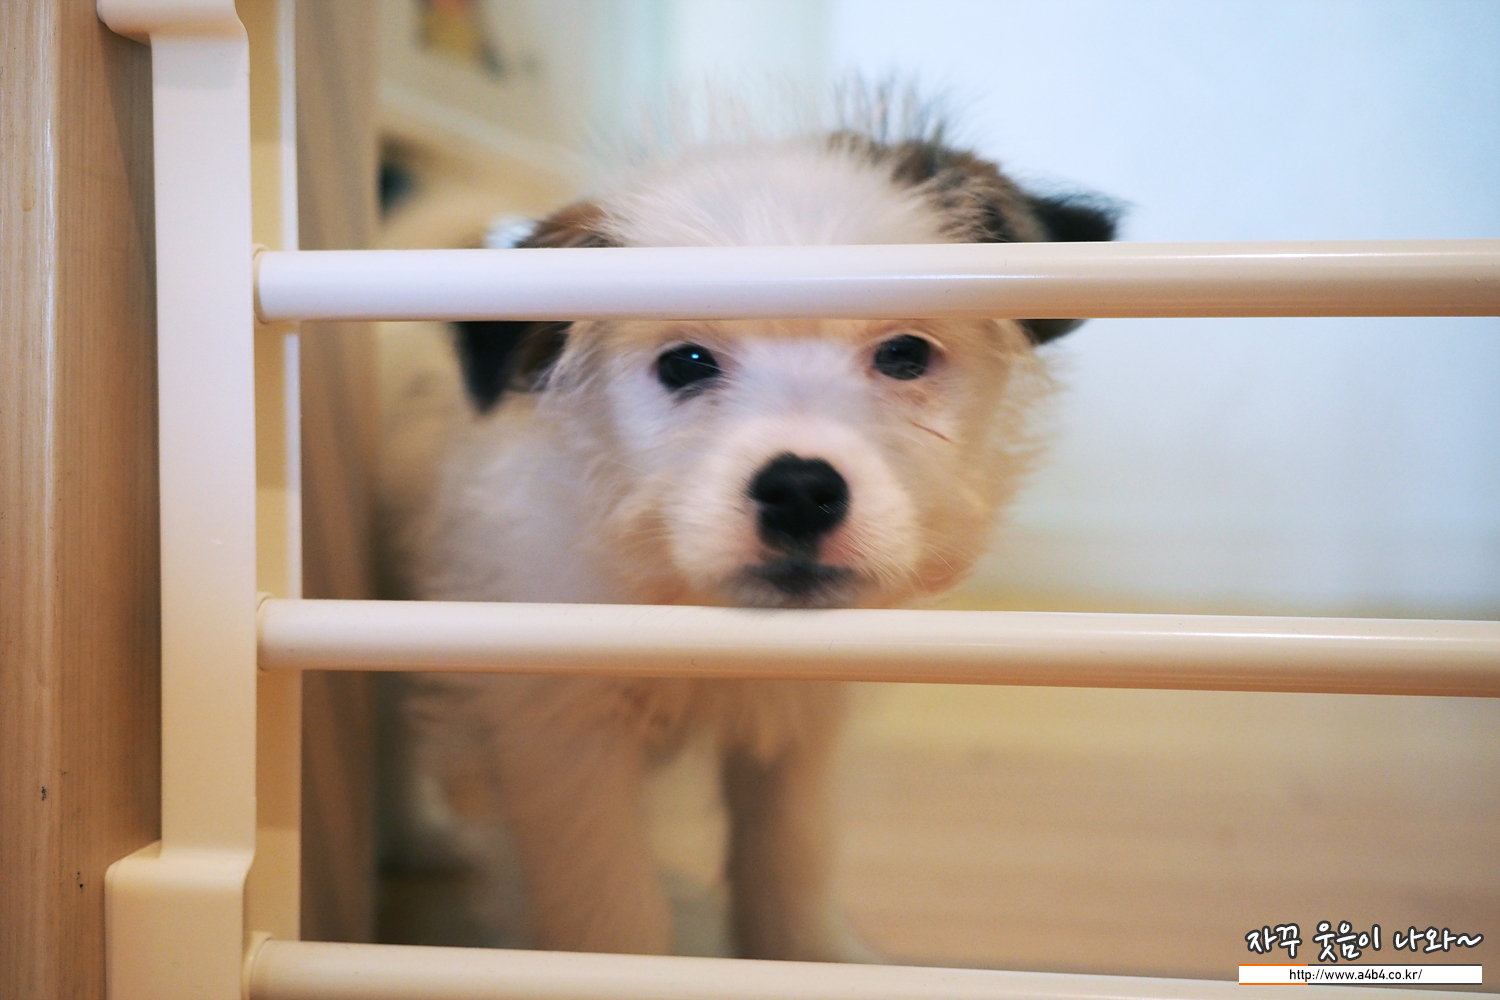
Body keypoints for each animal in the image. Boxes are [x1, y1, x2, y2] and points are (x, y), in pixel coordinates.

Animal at [381, 111, 1117, 961]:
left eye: (904, 353)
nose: (799, 491)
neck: (684, 603)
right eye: (686, 362)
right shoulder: (563, 745)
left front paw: (809, 959)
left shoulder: (797, 737)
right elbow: (606, 911)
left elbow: (789, 864)